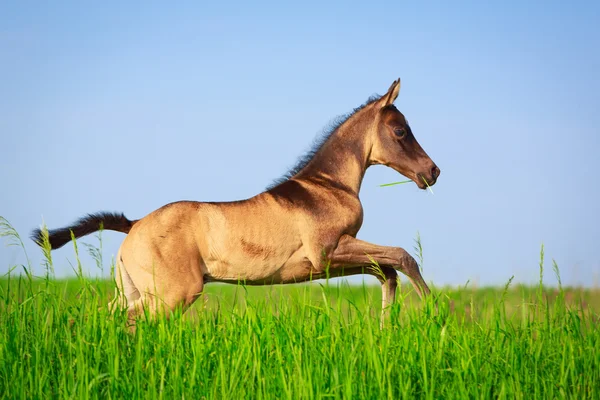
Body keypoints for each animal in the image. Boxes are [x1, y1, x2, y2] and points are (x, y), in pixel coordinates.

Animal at [32, 79, 440, 326]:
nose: (432, 172)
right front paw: (434, 314)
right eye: (400, 131)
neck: (329, 186)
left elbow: (386, 270)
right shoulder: (329, 252)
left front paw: (386, 327)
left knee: (103, 317)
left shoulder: (327, 262)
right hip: (171, 294)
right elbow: (403, 256)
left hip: (131, 289)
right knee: (130, 323)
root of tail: (134, 224)